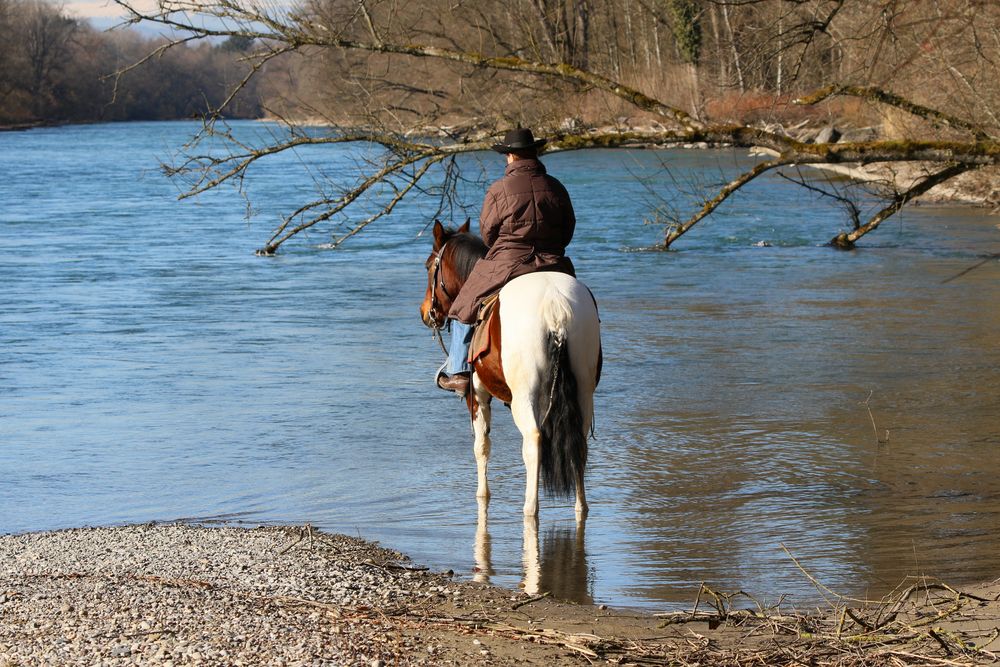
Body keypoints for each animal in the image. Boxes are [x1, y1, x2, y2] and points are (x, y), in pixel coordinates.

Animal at [416, 219, 596, 520]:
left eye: (430, 265)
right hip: (583, 389)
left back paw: (530, 508)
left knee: (533, 442)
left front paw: (482, 495)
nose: (425, 311)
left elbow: (481, 446)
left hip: (525, 396)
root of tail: (556, 308)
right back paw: (580, 507)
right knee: (578, 442)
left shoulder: (477, 395)